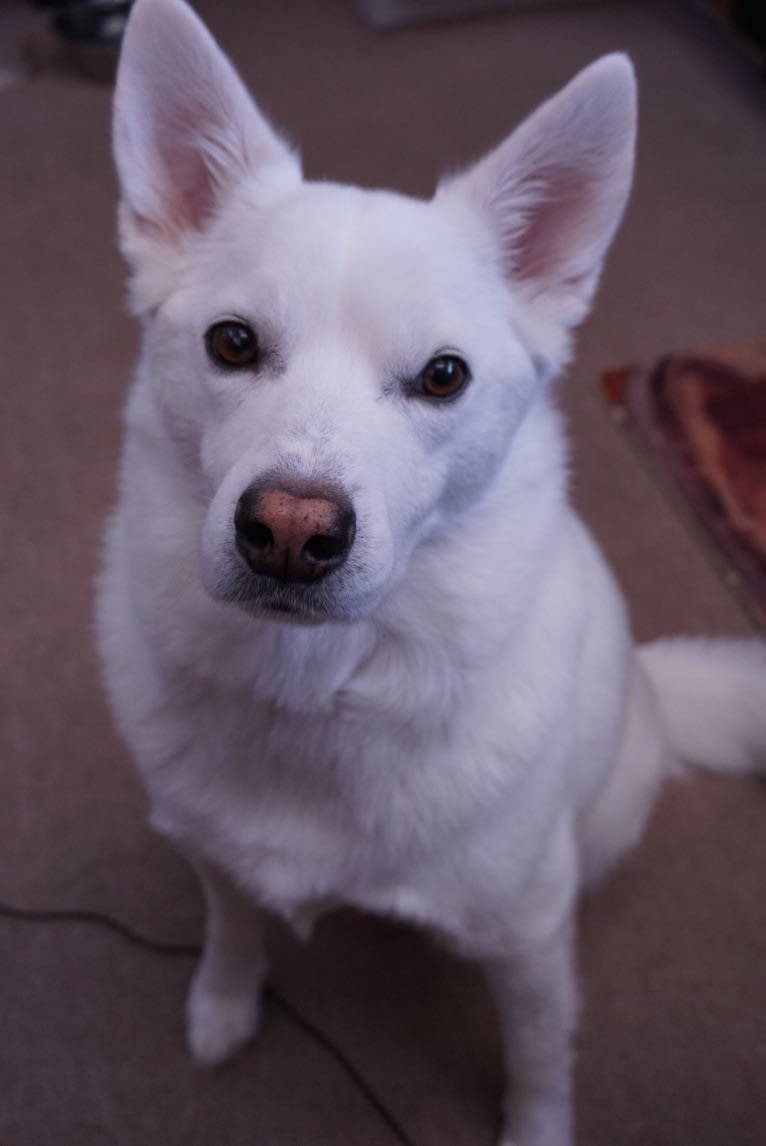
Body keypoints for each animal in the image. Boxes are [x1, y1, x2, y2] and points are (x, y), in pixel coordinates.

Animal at [95, 2, 766, 1146]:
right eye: (232, 343)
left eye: (442, 376)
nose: (289, 531)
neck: (317, 696)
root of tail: (652, 686)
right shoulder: (208, 850)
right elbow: (234, 927)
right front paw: (224, 1005)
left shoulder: (529, 941)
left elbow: (540, 1061)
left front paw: (537, 1131)